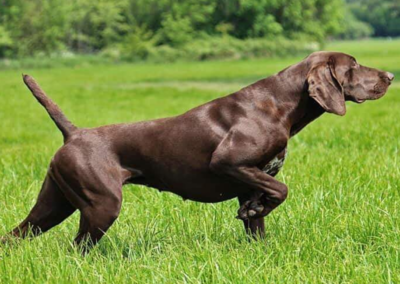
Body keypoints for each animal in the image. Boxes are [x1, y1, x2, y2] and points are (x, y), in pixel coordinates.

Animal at [0, 50, 394, 251]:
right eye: (353, 66)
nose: (390, 76)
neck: (280, 104)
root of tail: (74, 134)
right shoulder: (229, 163)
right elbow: (281, 190)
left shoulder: (251, 181)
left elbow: (259, 218)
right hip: (101, 205)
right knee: (78, 247)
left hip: (53, 205)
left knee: (15, 235)